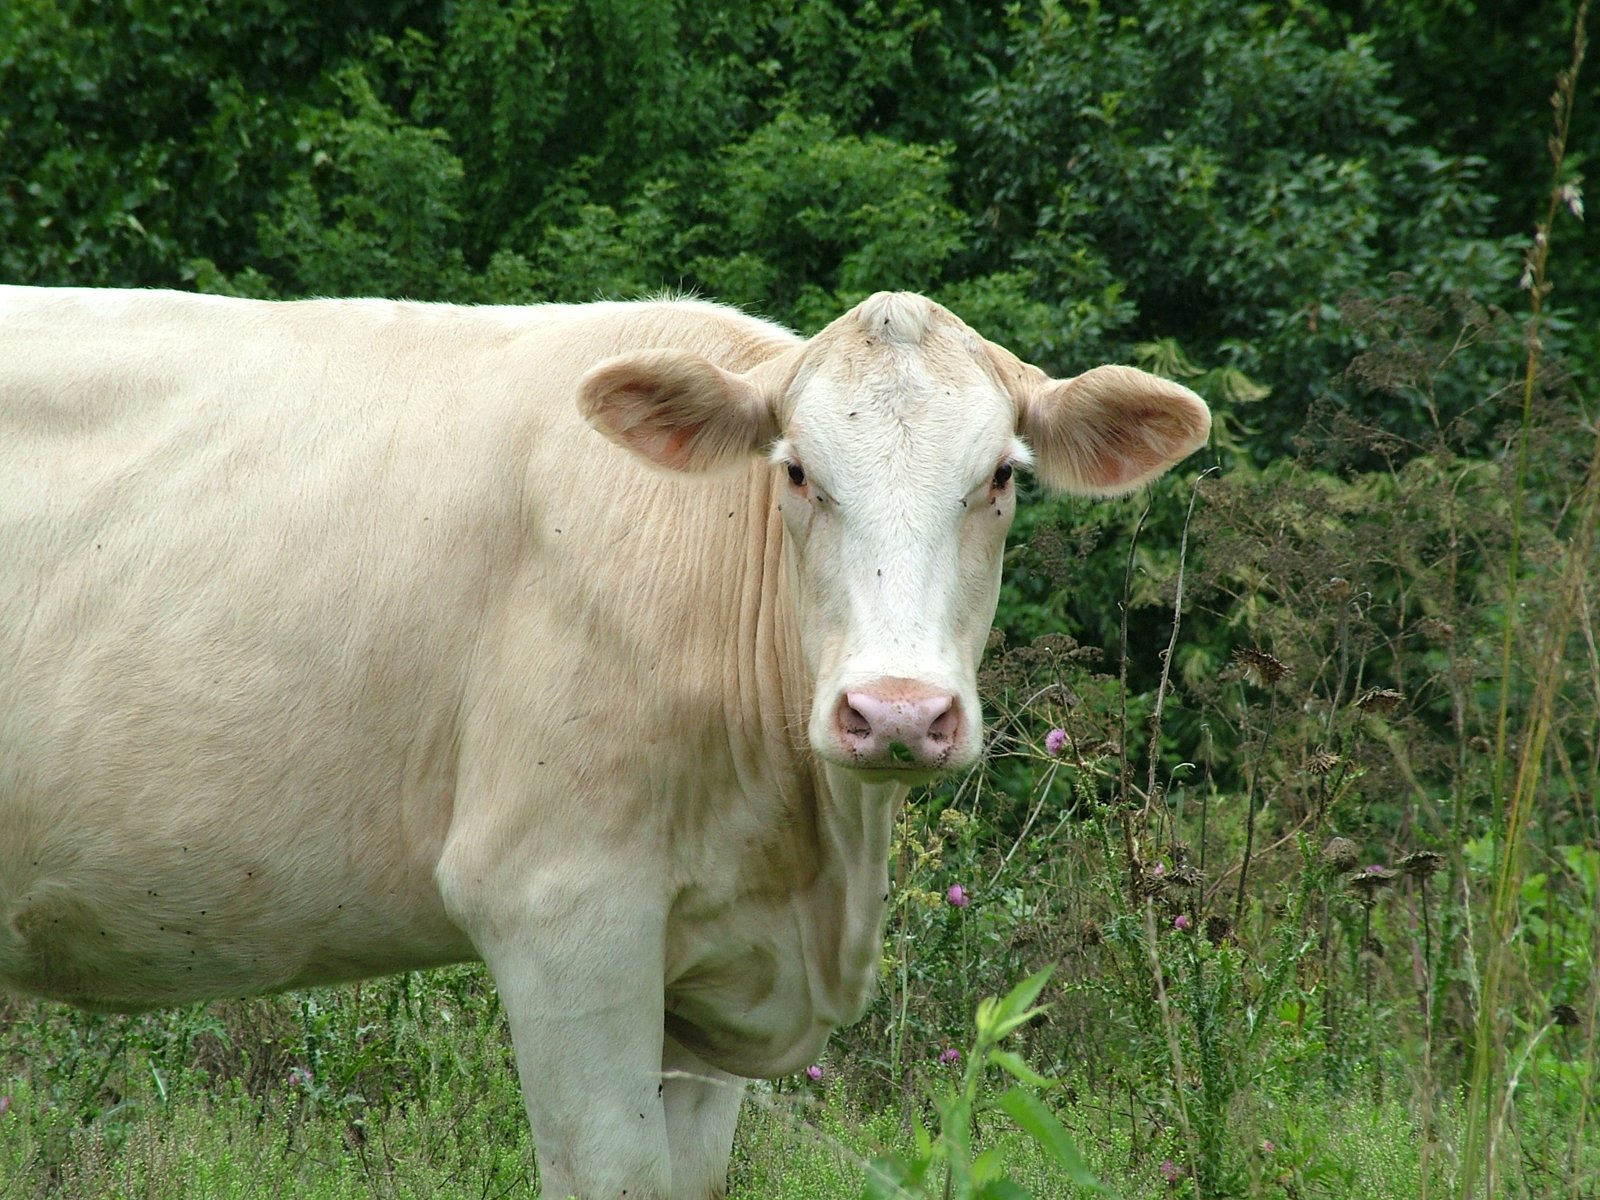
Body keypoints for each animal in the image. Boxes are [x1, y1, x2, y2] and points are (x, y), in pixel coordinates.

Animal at [0, 286, 1203, 1196]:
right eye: (797, 472)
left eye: (999, 477)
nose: (897, 711)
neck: (815, 874)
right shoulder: (562, 911)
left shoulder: (711, 967)